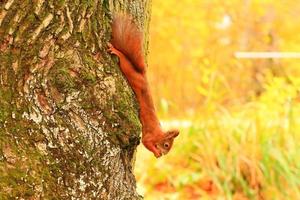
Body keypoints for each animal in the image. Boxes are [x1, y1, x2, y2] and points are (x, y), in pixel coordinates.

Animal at [108, 14, 178, 158]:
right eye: (166, 145)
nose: (164, 154)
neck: (159, 135)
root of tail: (143, 76)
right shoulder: (150, 137)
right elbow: (146, 143)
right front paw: (156, 152)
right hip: (129, 71)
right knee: (124, 60)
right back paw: (116, 51)